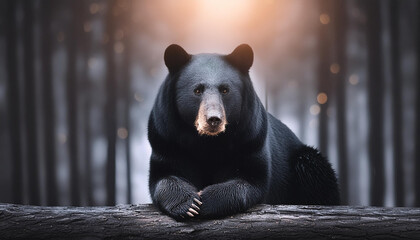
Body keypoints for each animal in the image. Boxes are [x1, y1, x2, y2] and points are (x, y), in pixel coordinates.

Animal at [147, 44, 338, 220]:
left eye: (225, 90)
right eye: (197, 90)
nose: (213, 119)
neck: (208, 142)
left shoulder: (251, 139)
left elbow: (250, 180)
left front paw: (206, 200)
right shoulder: (166, 138)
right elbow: (163, 176)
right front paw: (189, 204)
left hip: (306, 160)